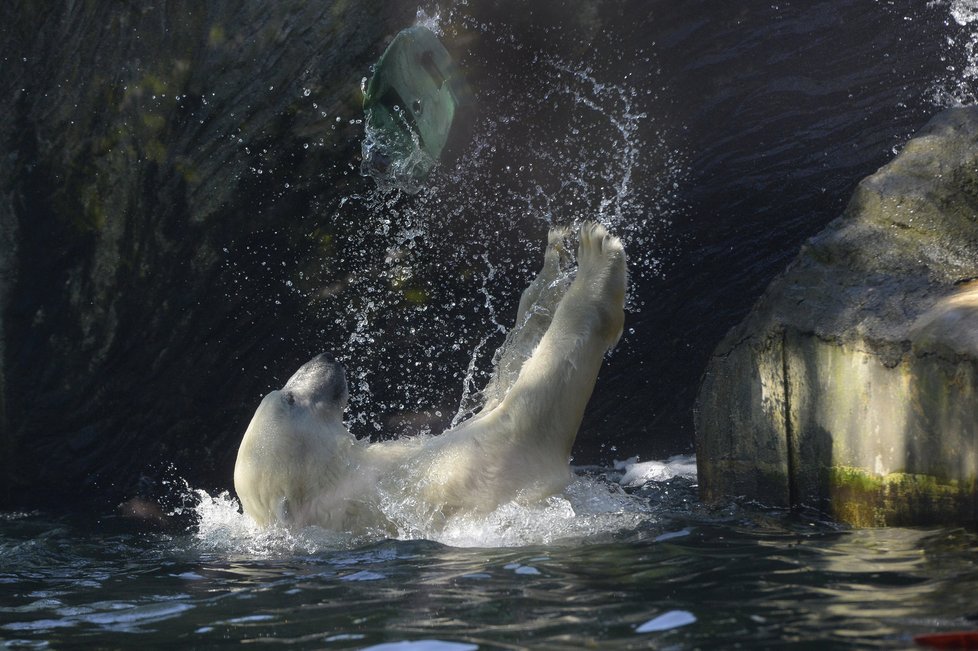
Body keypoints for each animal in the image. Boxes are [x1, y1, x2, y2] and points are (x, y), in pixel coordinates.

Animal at [233, 224, 620, 536]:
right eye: (288, 399)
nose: (324, 357)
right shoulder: (433, 484)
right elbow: (527, 420)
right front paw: (598, 255)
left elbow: (501, 389)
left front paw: (550, 269)